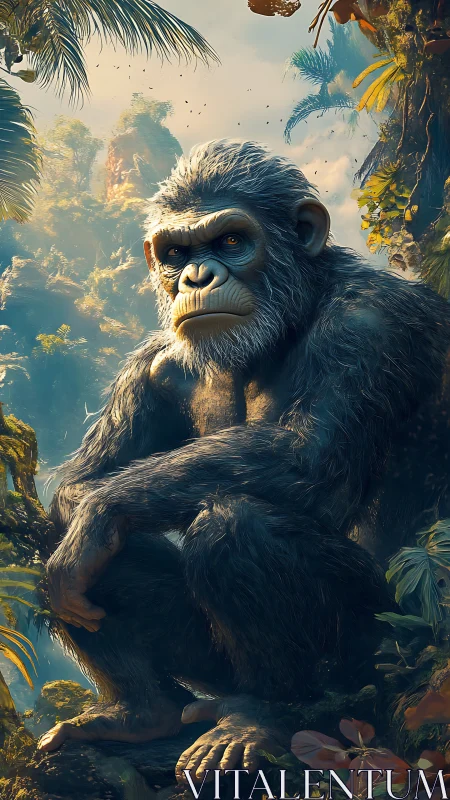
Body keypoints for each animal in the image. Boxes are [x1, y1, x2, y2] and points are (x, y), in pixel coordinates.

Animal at [39, 140, 450, 779]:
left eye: (232, 240)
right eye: (176, 252)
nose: (195, 276)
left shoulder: (372, 323)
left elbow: (306, 460)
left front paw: (101, 513)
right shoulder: (151, 366)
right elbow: (78, 485)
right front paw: (87, 519)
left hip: (381, 654)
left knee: (238, 525)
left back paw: (261, 717)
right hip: (213, 669)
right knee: (63, 538)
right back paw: (143, 711)